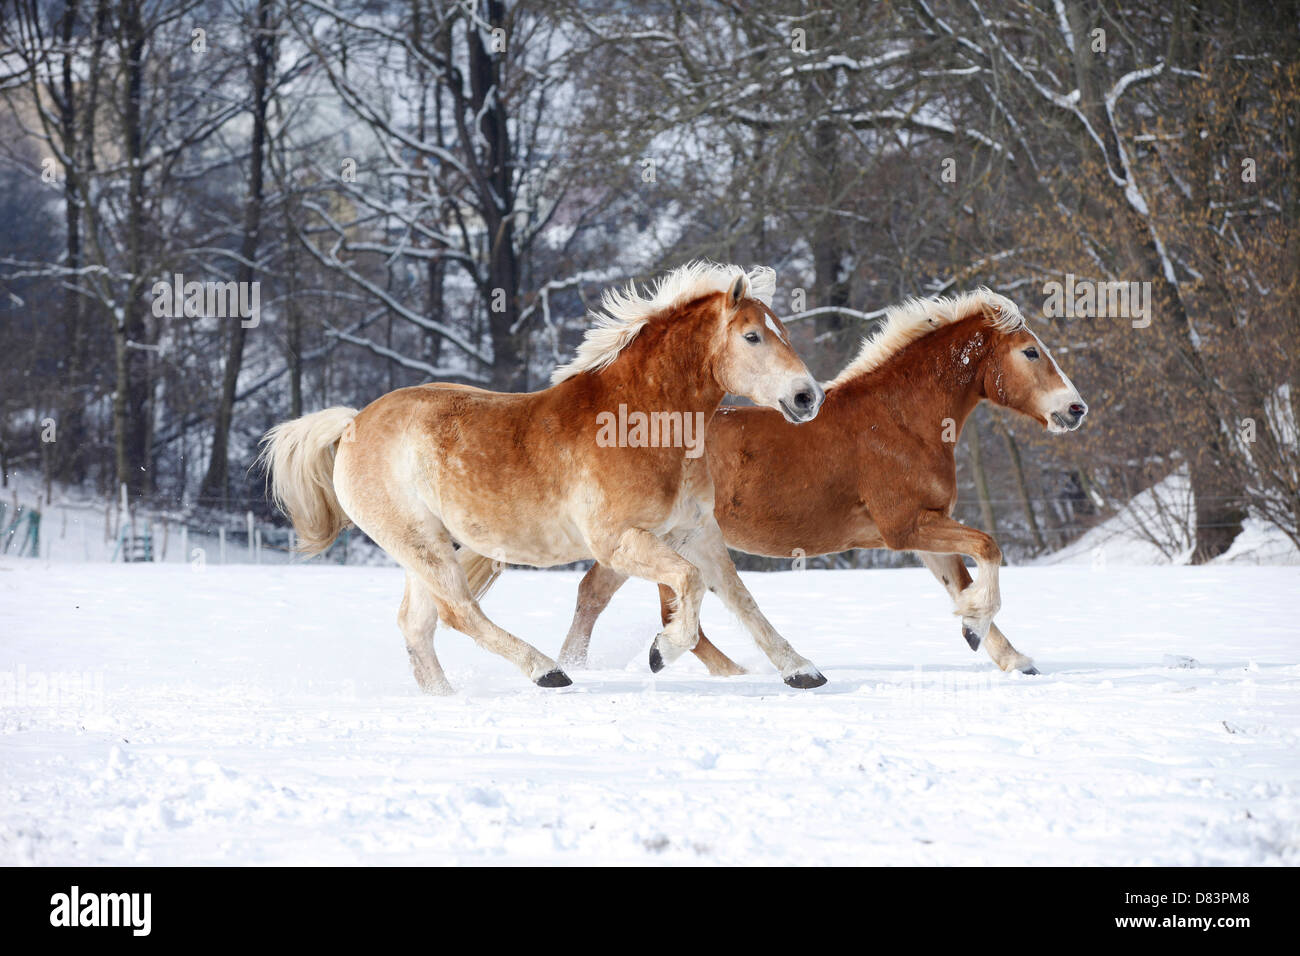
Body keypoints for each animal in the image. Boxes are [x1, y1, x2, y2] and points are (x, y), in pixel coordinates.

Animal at [462, 287, 1081, 676]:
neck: (901, 419)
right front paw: (980, 629)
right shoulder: (906, 527)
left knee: (609, 597)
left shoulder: (923, 531)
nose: (1076, 409)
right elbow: (990, 547)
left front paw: (1001, 648)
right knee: (642, 604)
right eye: (1031, 352)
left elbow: (961, 579)